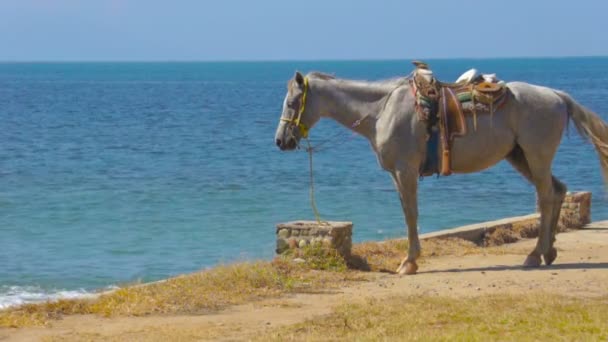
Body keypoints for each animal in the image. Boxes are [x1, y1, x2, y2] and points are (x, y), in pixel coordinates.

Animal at [276, 70, 608, 276]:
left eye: (292, 102)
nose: (281, 141)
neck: (382, 110)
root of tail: (556, 95)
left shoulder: (406, 170)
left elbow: (411, 214)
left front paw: (409, 262)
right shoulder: (396, 174)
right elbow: (407, 213)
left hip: (536, 157)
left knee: (546, 197)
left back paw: (535, 255)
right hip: (520, 157)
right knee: (558, 190)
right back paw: (548, 252)